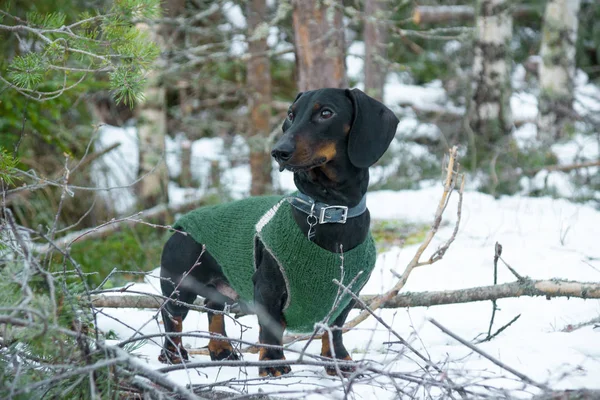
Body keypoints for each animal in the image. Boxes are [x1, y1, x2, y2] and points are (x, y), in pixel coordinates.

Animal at [158, 86, 398, 376]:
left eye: (326, 113)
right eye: (291, 115)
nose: (278, 151)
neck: (328, 209)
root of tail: (178, 227)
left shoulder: (348, 293)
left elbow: (334, 328)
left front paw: (338, 360)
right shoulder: (267, 286)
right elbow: (272, 327)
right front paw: (273, 363)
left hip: (220, 289)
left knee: (212, 309)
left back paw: (222, 350)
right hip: (179, 286)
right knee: (172, 317)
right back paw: (173, 355)